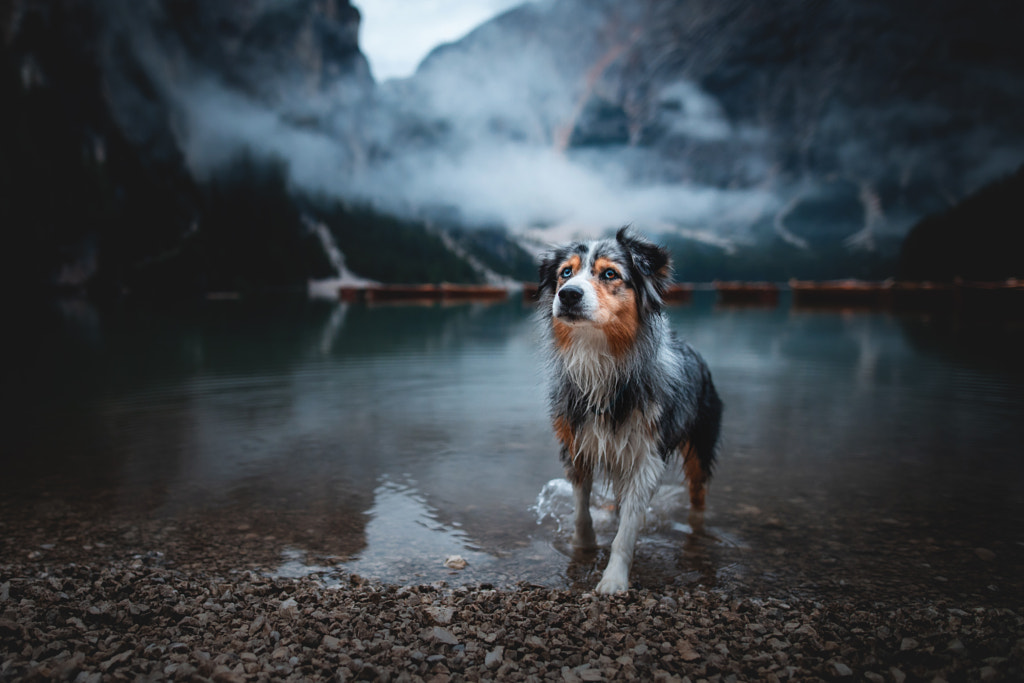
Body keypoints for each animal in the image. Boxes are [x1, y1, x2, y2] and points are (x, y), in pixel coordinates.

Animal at [536, 227, 720, 593]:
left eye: (610, 274)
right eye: (565, 272)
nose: (568, 295)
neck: (601, 360)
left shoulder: (647, 455)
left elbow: (627, 530)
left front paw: (613, 579)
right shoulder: (577, 444)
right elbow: (581, 508)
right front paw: (583, 547)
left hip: (700, 446)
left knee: (698, 495)